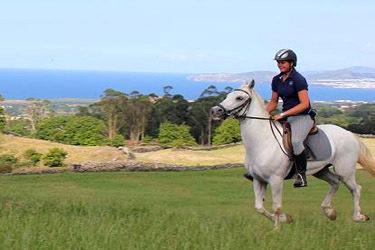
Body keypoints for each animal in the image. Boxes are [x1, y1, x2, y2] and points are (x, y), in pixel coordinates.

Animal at [212, 80, 375, 227]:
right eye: (228, 95)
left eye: (239, 98)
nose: (215, 111)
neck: (262, 142)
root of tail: (349, 134)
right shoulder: (258, 179)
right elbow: (259, 207)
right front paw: (286, 219)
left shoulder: (275, 179)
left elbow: (276, 206)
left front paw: (276, 230)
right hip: (321, 170)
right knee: (335, 182)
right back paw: (330, 212)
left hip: (345, 171)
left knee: (355, 189)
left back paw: (358, 217)